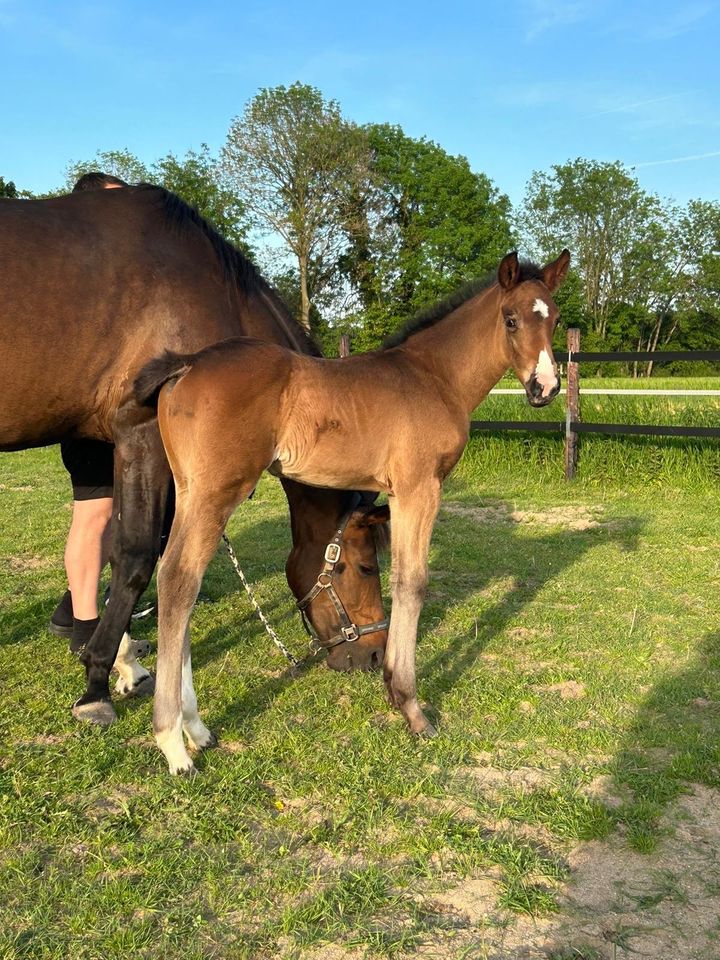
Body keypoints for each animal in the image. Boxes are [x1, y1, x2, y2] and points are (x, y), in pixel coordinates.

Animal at [0, 184, 388, 724]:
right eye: (366, 566)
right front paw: (97, 683)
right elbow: (136, 557)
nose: (372, 654)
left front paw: (118, 658)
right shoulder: (141, 434)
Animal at [135, 248, 568, 772]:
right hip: (215, 493)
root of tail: (187, 364)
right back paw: (173, 743)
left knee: (179, 582)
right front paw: (410, 706)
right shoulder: (419, 488)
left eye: (555, 318)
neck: (434, 376)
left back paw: (195, 728)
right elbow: (412, 582)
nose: (545, 387)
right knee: (179, 580)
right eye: (510, 319)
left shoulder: (404, 493)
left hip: (190, 491)